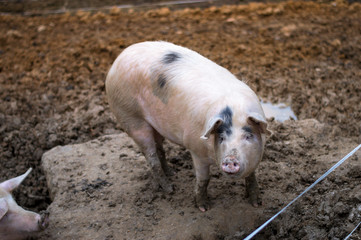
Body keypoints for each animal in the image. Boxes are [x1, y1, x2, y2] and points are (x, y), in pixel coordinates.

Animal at [105, 41, 268, 212]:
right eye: (222, 137)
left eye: (248, 136)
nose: (230, 160)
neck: (234, 108)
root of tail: (119, 59)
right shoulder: (195, 149)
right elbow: (204, 179)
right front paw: (203, 208)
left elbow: (251, 176)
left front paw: (257, 203)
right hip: (130, 116)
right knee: (151, 156)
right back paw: (169, 189)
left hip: (154, 124)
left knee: (159, 149)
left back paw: (172, 172)